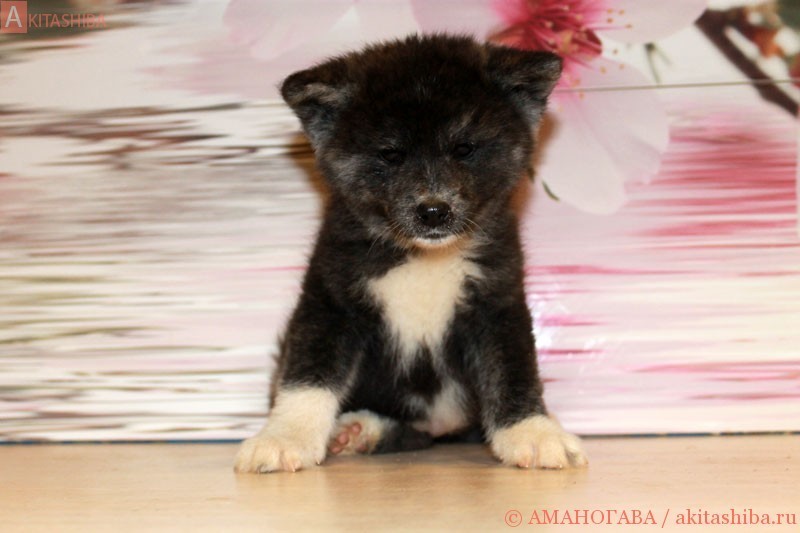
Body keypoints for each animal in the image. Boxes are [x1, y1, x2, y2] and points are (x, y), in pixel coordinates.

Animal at [235, 34, 587, 473]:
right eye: (391, 154)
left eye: (464, 148)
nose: (434, 210)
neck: (424, 259)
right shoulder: (331, 300)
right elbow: (307, 374)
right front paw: (285, 437)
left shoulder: (496, 301)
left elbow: (514, 371)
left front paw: (532, 432)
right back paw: (357, 430)